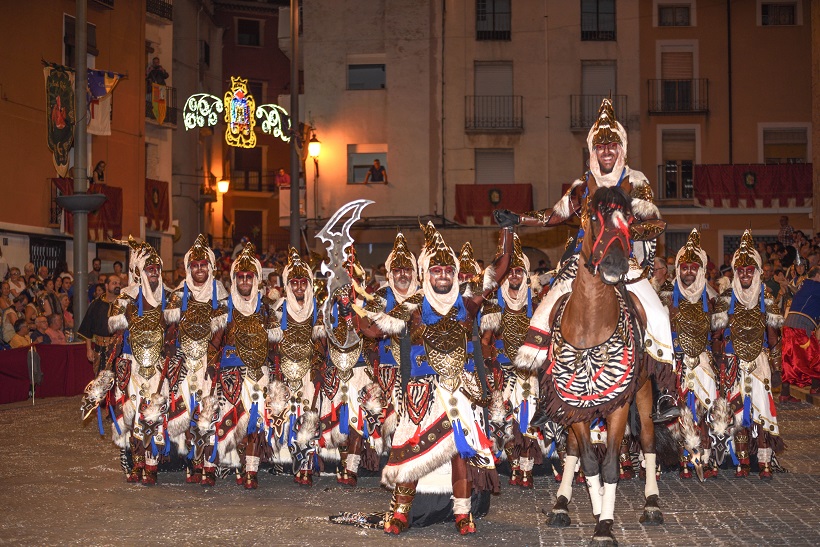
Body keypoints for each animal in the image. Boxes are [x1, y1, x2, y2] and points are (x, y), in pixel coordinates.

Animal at [520, 186, 668, 544]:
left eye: (628, 219)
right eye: (593, 218)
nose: (615, 264)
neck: (590, 325)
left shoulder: (618, 405)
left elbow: (611, 464)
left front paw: (604, 526)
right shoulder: (574, 405)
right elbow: (587, 460)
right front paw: (598, 510)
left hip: (644, 392)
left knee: (647, 439)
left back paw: (652, 504)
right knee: (573, 450)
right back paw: (561, 504)